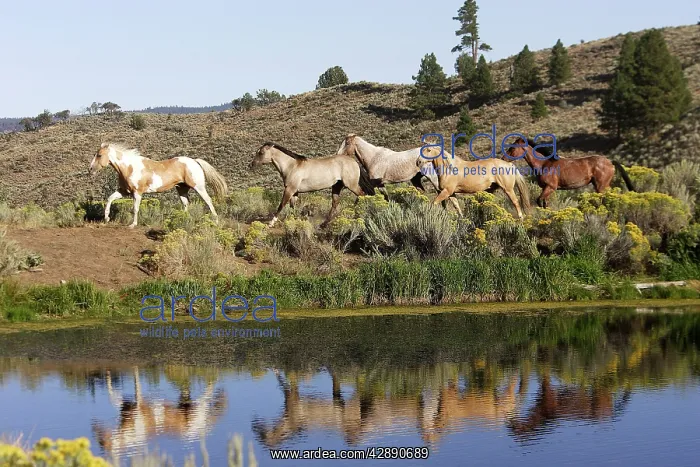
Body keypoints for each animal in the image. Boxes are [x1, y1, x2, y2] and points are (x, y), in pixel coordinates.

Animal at [89, 143, 228, 228]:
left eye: (99, 155)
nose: (90, 169)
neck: (129, 168)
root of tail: (194, 161)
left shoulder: (137, 192)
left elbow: (135, 208)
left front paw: (133, 225)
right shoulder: (124, 191)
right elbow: (109, 199)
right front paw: (106, 218)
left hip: (198, 187)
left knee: (208, 201)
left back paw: (215, 221)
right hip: (182, 189)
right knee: (186, 203)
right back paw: (182, 219)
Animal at [504, 137, 635, 208]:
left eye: (512, 148)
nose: (503, 158)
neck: (544, 163)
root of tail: (610, 162)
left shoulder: (550, 187)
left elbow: (539, 200)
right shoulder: (546, 189)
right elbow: (545, 203)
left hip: (601, 186)